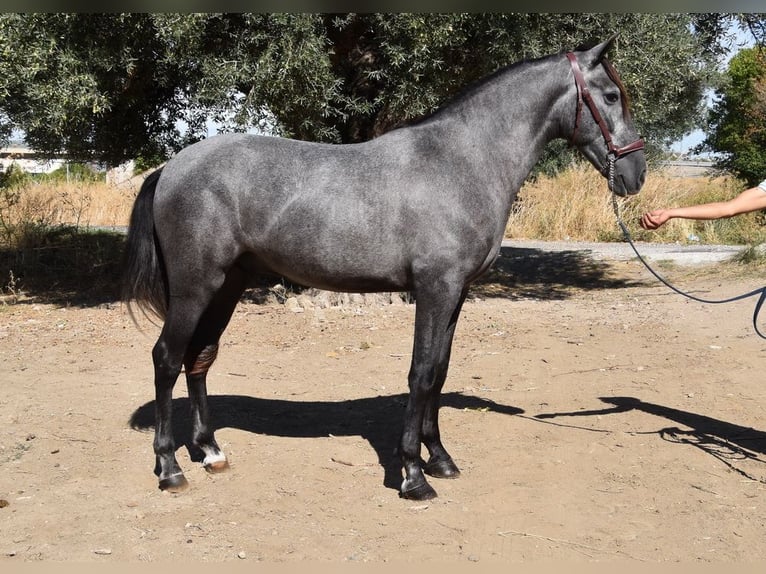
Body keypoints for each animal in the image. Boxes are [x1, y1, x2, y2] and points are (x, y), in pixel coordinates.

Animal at [123, 38, 644, 502]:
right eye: (611, 96)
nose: (635, 173)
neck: (461, 162)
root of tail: (171, 167)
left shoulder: (456, 293)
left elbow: (440, 370)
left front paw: (441, 459)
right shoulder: (435, 288)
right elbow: (420, 373)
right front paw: (414, 475)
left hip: (228, 284)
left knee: (200, 357)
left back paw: (210, 451)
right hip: (196, 286)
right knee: (167, 357)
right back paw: (169, 468)